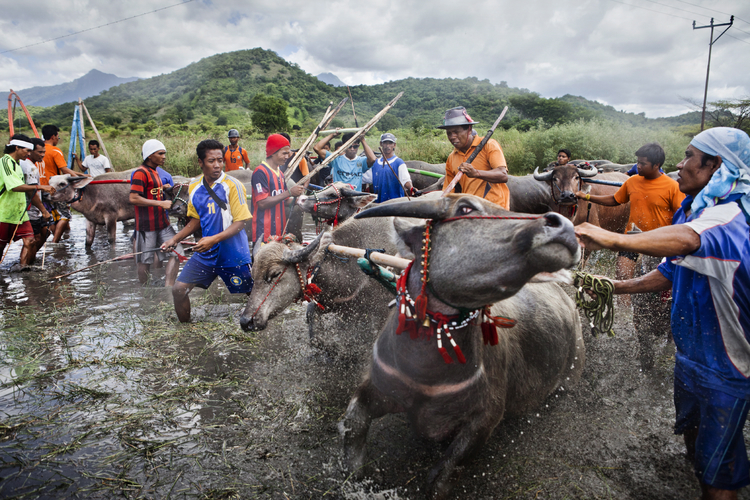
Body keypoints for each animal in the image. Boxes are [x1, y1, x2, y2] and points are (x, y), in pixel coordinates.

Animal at [340, 196, 588, 500]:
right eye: (465, 208)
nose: (563, 226)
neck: (426, 376)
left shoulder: (485, 419)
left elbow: (445, 472)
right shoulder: (376, 387)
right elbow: (353, 424)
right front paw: (356, 474)